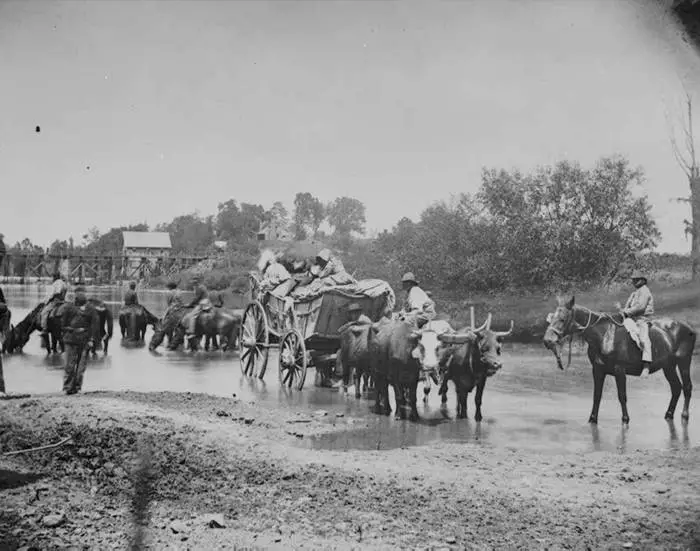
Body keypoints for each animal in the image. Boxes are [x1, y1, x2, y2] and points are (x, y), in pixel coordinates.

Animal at [540, 298, 696, 426]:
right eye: (551, 318)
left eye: (562, 319)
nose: (547, 341)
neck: (604, 335)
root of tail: (689, 328)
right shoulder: (598, 370)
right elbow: (597, 395)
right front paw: (592, 419)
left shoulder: (619, 370)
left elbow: (622, 396)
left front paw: (625, 419)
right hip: (668, 366)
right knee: (676, 388)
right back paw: (669, 415)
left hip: (684, 362)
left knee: (687, 387)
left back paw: (685, 415)